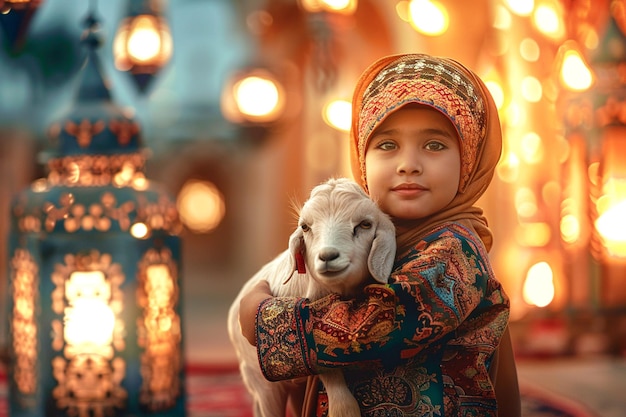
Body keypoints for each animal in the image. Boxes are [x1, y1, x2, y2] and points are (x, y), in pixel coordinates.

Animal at [228, 176, 394, 416]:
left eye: (365, 224)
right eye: (305, 227)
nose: (327, 256)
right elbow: (328, 372)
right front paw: (344, 410)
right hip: (261, 381)